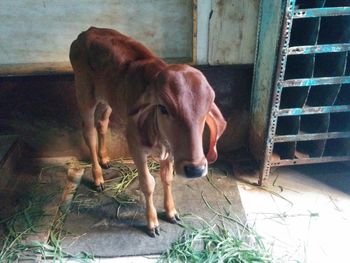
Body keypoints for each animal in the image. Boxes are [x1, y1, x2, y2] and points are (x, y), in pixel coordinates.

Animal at [69, 27, 227, 238]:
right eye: (163, 108)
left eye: (206, 109)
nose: (196, 169)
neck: (160, 139)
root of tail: (87, 32)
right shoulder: (135, 147)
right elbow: (148, 183)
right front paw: (152, 222)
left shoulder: (171, 152)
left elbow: (167, 178)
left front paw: (171, 212)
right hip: (84, 94)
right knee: (89, 133)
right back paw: (98, 177)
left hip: (107, 98)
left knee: (102, 123)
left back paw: (105, 159)